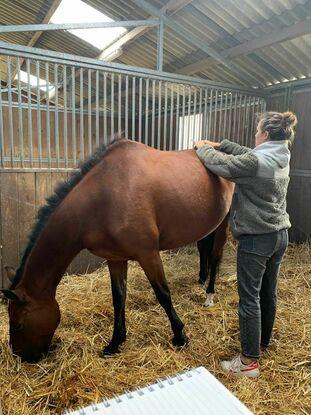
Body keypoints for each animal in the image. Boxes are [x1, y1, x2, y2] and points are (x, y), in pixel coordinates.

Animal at [0, 138, 234, 362]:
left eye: (17, 324)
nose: (22, 358)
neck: (102, 198)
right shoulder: (115, 258)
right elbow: (118, 298)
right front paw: (115, 343)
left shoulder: (148, 254)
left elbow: (163, 295)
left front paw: (180, 336)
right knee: (203, 248)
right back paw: (202, 279)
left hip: (224, 223)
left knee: (216, 257)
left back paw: (209, 295)